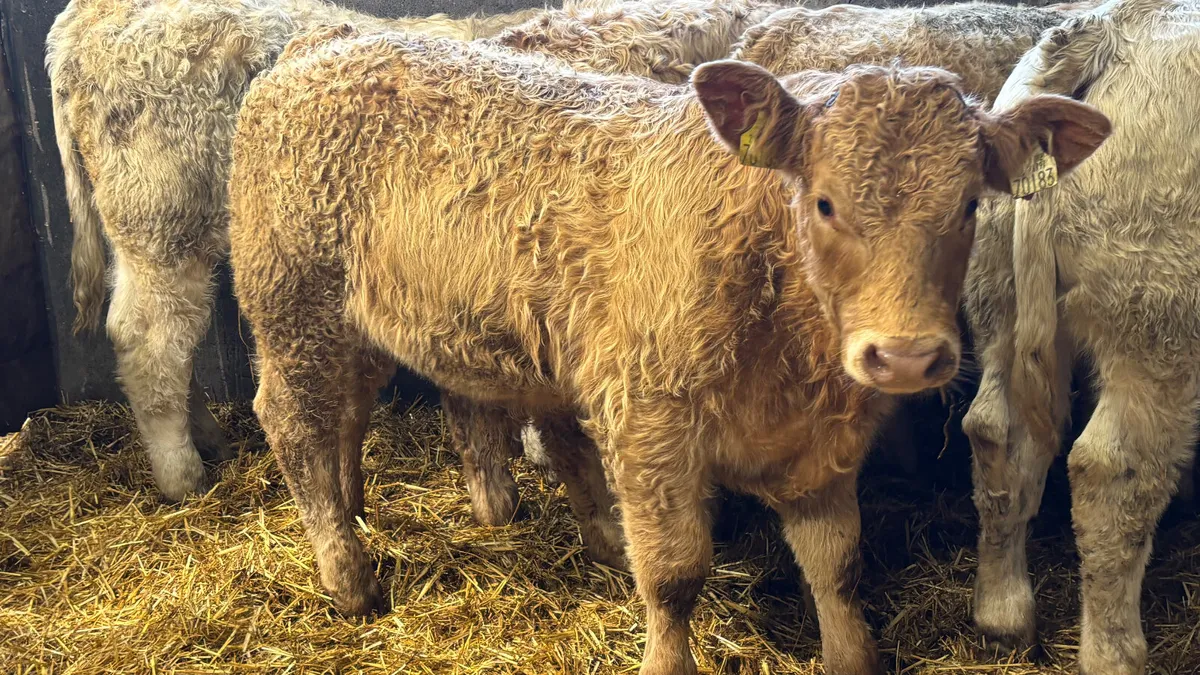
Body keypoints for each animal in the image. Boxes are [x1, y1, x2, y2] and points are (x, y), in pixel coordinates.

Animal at [226, 26, 1107, 675]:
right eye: (824, 202)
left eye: (968, 206)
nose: (904, 356)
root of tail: (323, 47)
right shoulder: (652, 425)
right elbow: (677, 572)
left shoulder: (819, 449)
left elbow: (837, 563)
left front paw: (850, 654)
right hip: (291, 297)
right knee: (294, 420)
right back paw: (347, 575)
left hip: (358, 322)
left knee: (346, 412)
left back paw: (355, 507)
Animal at [961, 0, 1200, 672]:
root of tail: (1110, 30)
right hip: (1158, 329)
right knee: (1110, 474)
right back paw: (1113, 652)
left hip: (999, 299)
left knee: (993, 431)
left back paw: (1003, 612)